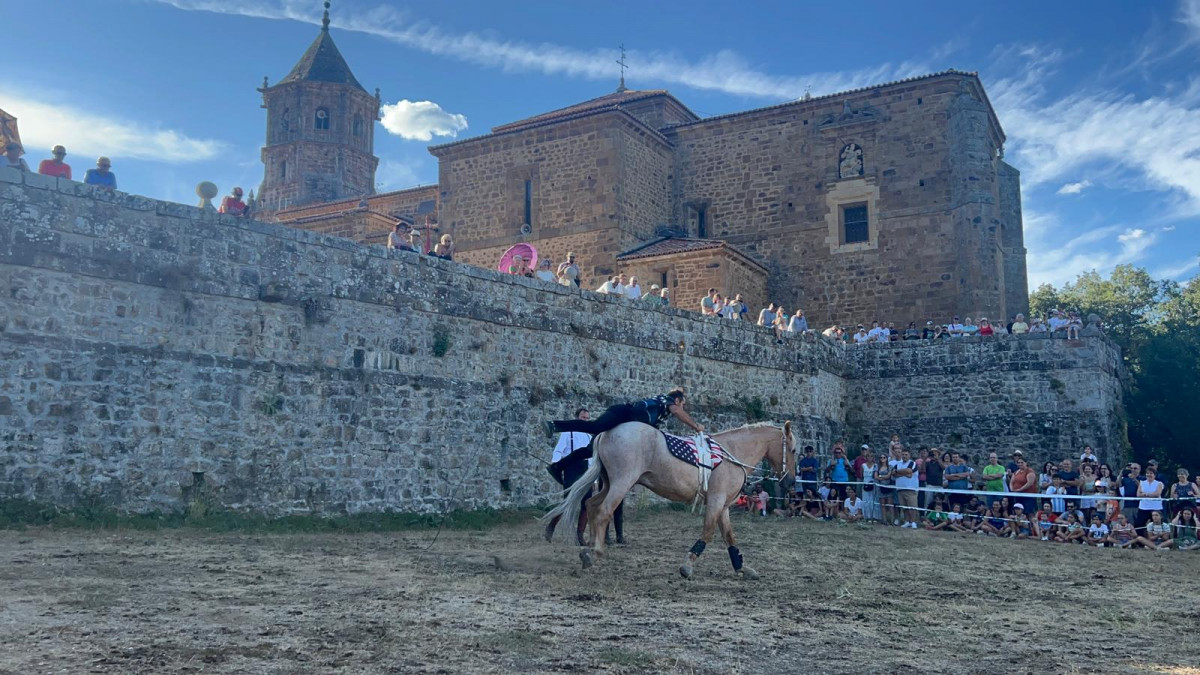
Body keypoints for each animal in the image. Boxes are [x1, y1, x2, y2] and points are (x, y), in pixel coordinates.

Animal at [542, 417, 787, 576]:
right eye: (792, 450)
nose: (788, 479)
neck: (731, 453)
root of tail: (605, 433)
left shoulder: (724, 505)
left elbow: (729, 535)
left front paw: (741, 567)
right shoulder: (716, 500)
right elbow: (708, 531)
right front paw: (687, 566)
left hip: (609, 482)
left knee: (592, 506)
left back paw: (590, 547)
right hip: (622, 482)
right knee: (604, 511)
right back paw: (596, 552)